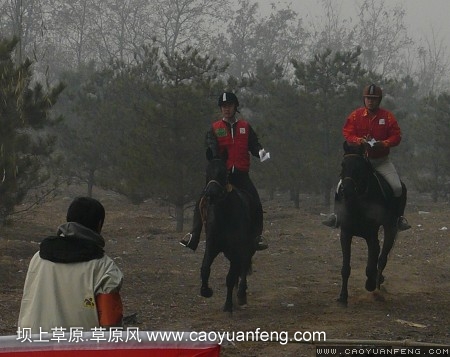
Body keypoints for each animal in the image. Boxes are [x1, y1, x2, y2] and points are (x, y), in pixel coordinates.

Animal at [200, 158, 256, 312]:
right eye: (207, 171)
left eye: (223, 173)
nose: (211, 193)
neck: (224, 216)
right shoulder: (212, 246)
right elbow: (205, 267)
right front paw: (206, 291)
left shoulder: (238, 249)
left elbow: (230, 278)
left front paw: (228, 305)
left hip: (247, 249)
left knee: (243, 266)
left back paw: (241, 294)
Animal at [336, 141, 402, 304]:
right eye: (343, 164)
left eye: (359, 167)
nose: (347, 190)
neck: (357, 203)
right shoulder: (345, 234)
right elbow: (345, 268)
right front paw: (343, 296)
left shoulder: (372, 236)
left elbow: (370, 266)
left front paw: (370, 284)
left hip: (391, 228)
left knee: (382, 258)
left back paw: (378, 284)